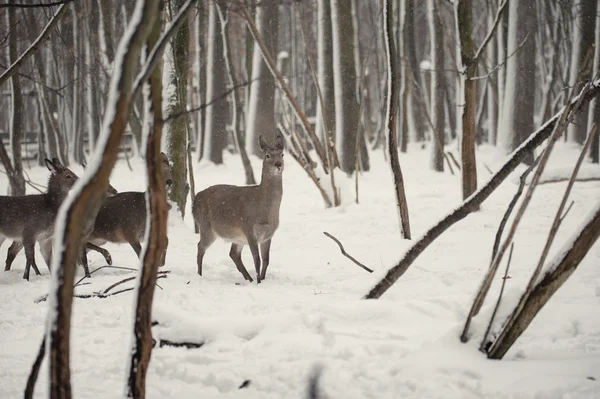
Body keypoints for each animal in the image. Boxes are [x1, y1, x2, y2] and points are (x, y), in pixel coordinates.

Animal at [193, 134, 284, 284]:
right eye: (267, 155)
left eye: (282, 154)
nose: (278, 165)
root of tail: (194, 201)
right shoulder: (248, 228)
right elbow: (257, 260)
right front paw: (259, 282)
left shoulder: (268, 235)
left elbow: (266, 260)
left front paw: (262, 279)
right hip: (206, 226)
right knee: (200, 246)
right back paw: (199, 275)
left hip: (236, 238)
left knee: (233, 254)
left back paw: (249, 279)